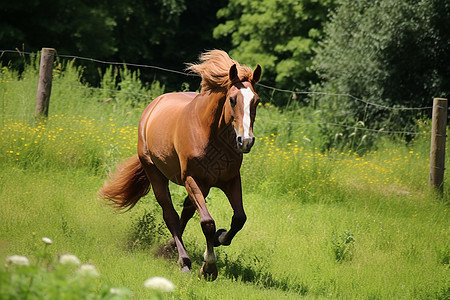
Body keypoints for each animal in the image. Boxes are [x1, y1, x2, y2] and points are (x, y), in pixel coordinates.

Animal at [98, 49, 260, 282]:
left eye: (256, 101)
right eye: (232, 99)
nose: (245, 141)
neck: (210, 134)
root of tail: (153, 106)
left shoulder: (229, 180)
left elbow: (239, 219)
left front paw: (220, 237)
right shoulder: (191, 179)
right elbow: (207, 222)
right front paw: (208, 267)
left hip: (204, 186)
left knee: (186, 211)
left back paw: (169, 248)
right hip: (156, 173)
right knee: (171, 215)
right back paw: (183, 261)